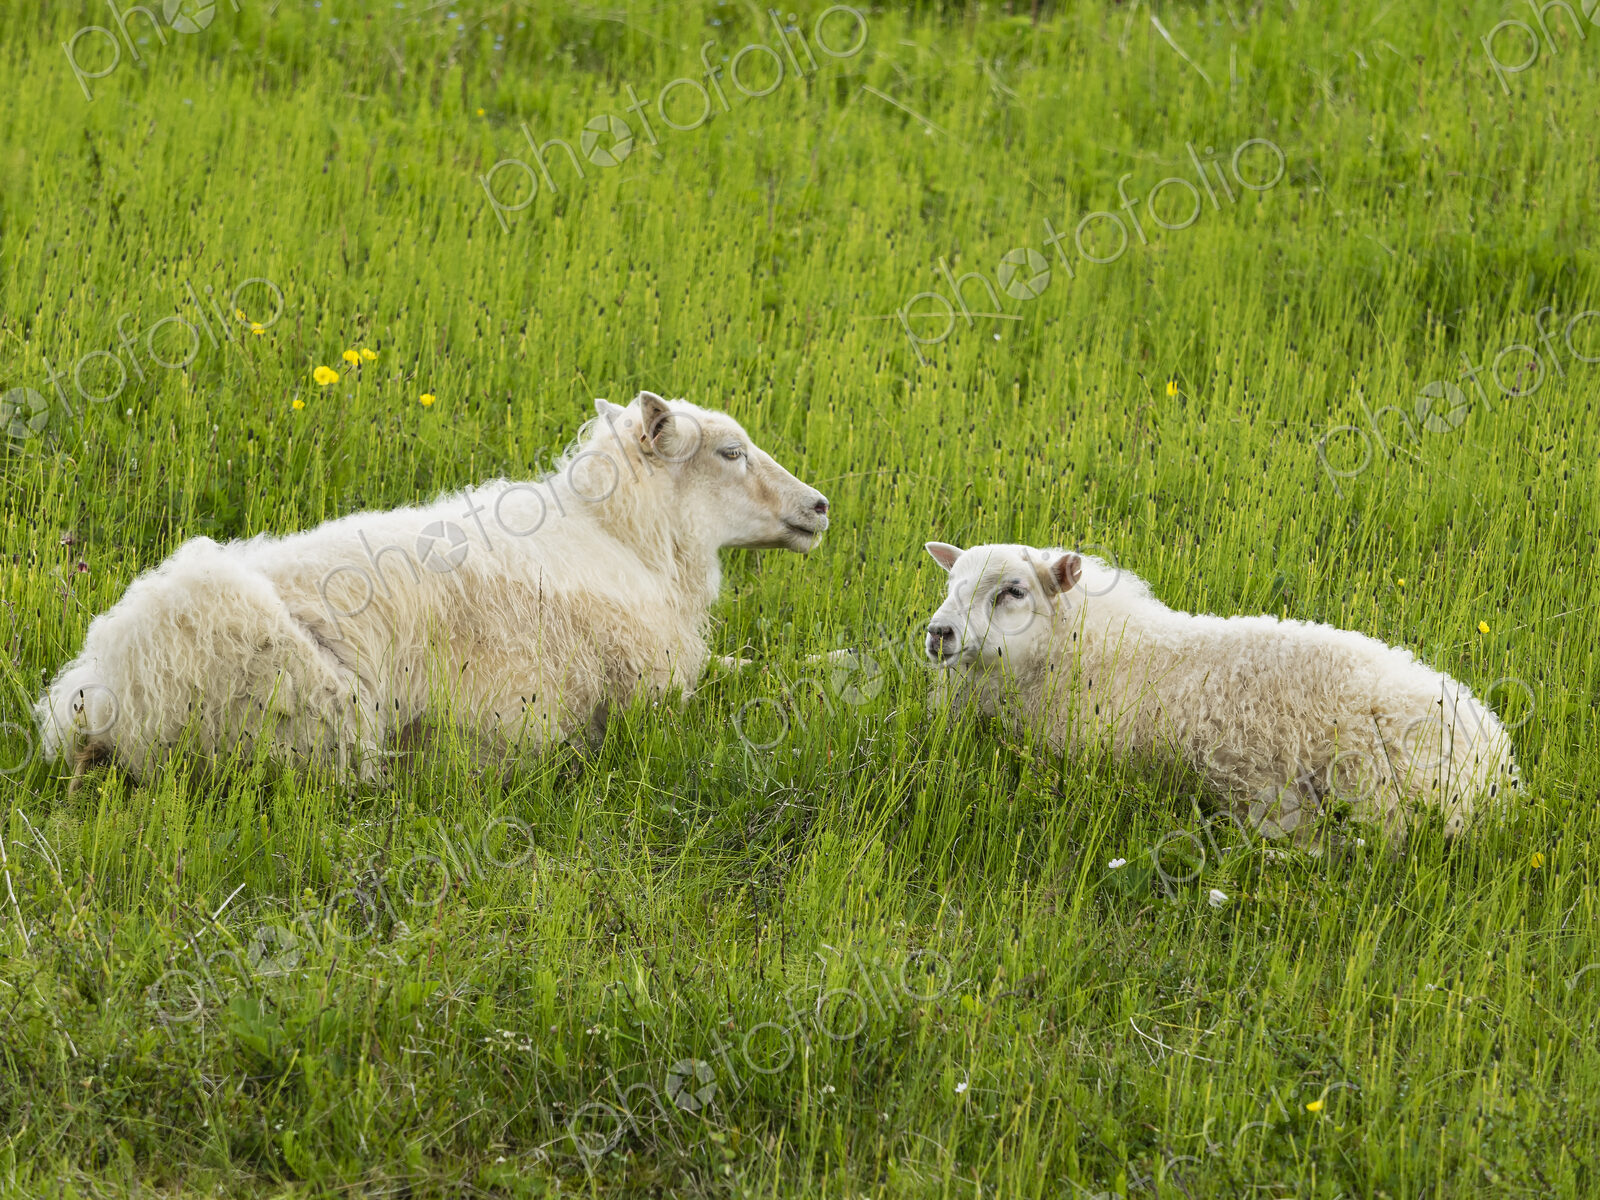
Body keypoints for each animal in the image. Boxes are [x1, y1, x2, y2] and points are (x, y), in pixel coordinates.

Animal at [36, 392, 831, 784]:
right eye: (731, 452)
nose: (820, 506)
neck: (626, 539)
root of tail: (98, 697)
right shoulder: (654, 697)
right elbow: (745, 677)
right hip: (308, 712)